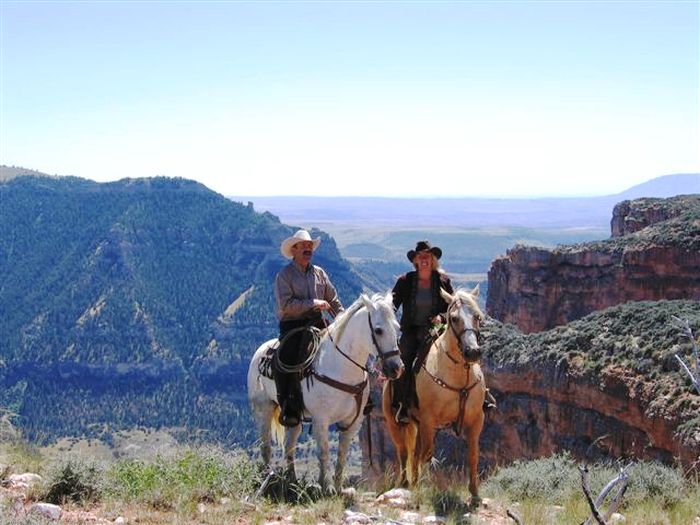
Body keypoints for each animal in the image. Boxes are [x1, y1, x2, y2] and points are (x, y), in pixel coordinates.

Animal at [247, 292, 404, 494]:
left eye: (397, 328)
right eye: (378, 330)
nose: (396, 368)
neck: (341, 368)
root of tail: (260, 351)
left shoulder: (352, 423)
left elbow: (342, 454)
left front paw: (338, 488)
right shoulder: (321, 420)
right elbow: (324, 452)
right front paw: (325, 486)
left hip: (294, 417)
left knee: (289, 445)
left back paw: (292, 480)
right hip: (264, 408)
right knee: (265, 446)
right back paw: (267, 479)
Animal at [380, 286, 484, 504]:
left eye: (478, 316)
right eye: (454, 318)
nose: (472, 352)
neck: (458, 377)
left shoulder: (476, 420)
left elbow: (473, 455)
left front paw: (474, 494)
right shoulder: (429, 420)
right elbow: (427, 455)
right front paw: (427, 488)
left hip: (417, 424)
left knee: (414, 453)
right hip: (395, 422)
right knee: (404, 452)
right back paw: (405, 483)